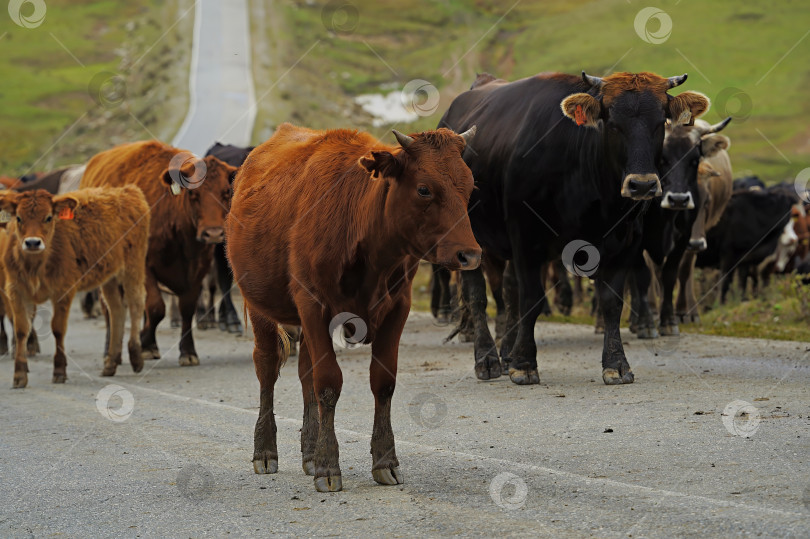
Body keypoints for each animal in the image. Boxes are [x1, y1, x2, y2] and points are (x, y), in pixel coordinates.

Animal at [79, 140, 237, 368]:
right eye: (193, 194)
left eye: (225, 192)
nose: (214, 233)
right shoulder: (146, 267)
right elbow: (156, 308)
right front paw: (143, 341)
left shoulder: (198, 270)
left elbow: (186, 308)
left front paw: (187, 351)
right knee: (110, 308)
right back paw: (110, 349)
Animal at [227, 123, 480, 494]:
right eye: (424, 189)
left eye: (470, 186)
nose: (470, 255)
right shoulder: (312, 304)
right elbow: (328, 382)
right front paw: (328, 467)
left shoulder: (397, 308)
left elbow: (382, 382)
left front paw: (384, 461)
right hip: (260, 306)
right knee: (267, 367)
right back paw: (265, 451)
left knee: (304, 371)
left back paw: (309, 451)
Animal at [438, 70, 712, 384]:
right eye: (612, 123)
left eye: (660, 122)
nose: (642, 185)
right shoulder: (526, 239)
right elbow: (531, 299)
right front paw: (524, 364)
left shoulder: (625, 245)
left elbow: (611, 302)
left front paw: (617, 364)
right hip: (469, 240)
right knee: (477, 296)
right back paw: (487, 359)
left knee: (508, 291)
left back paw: (505, 353)